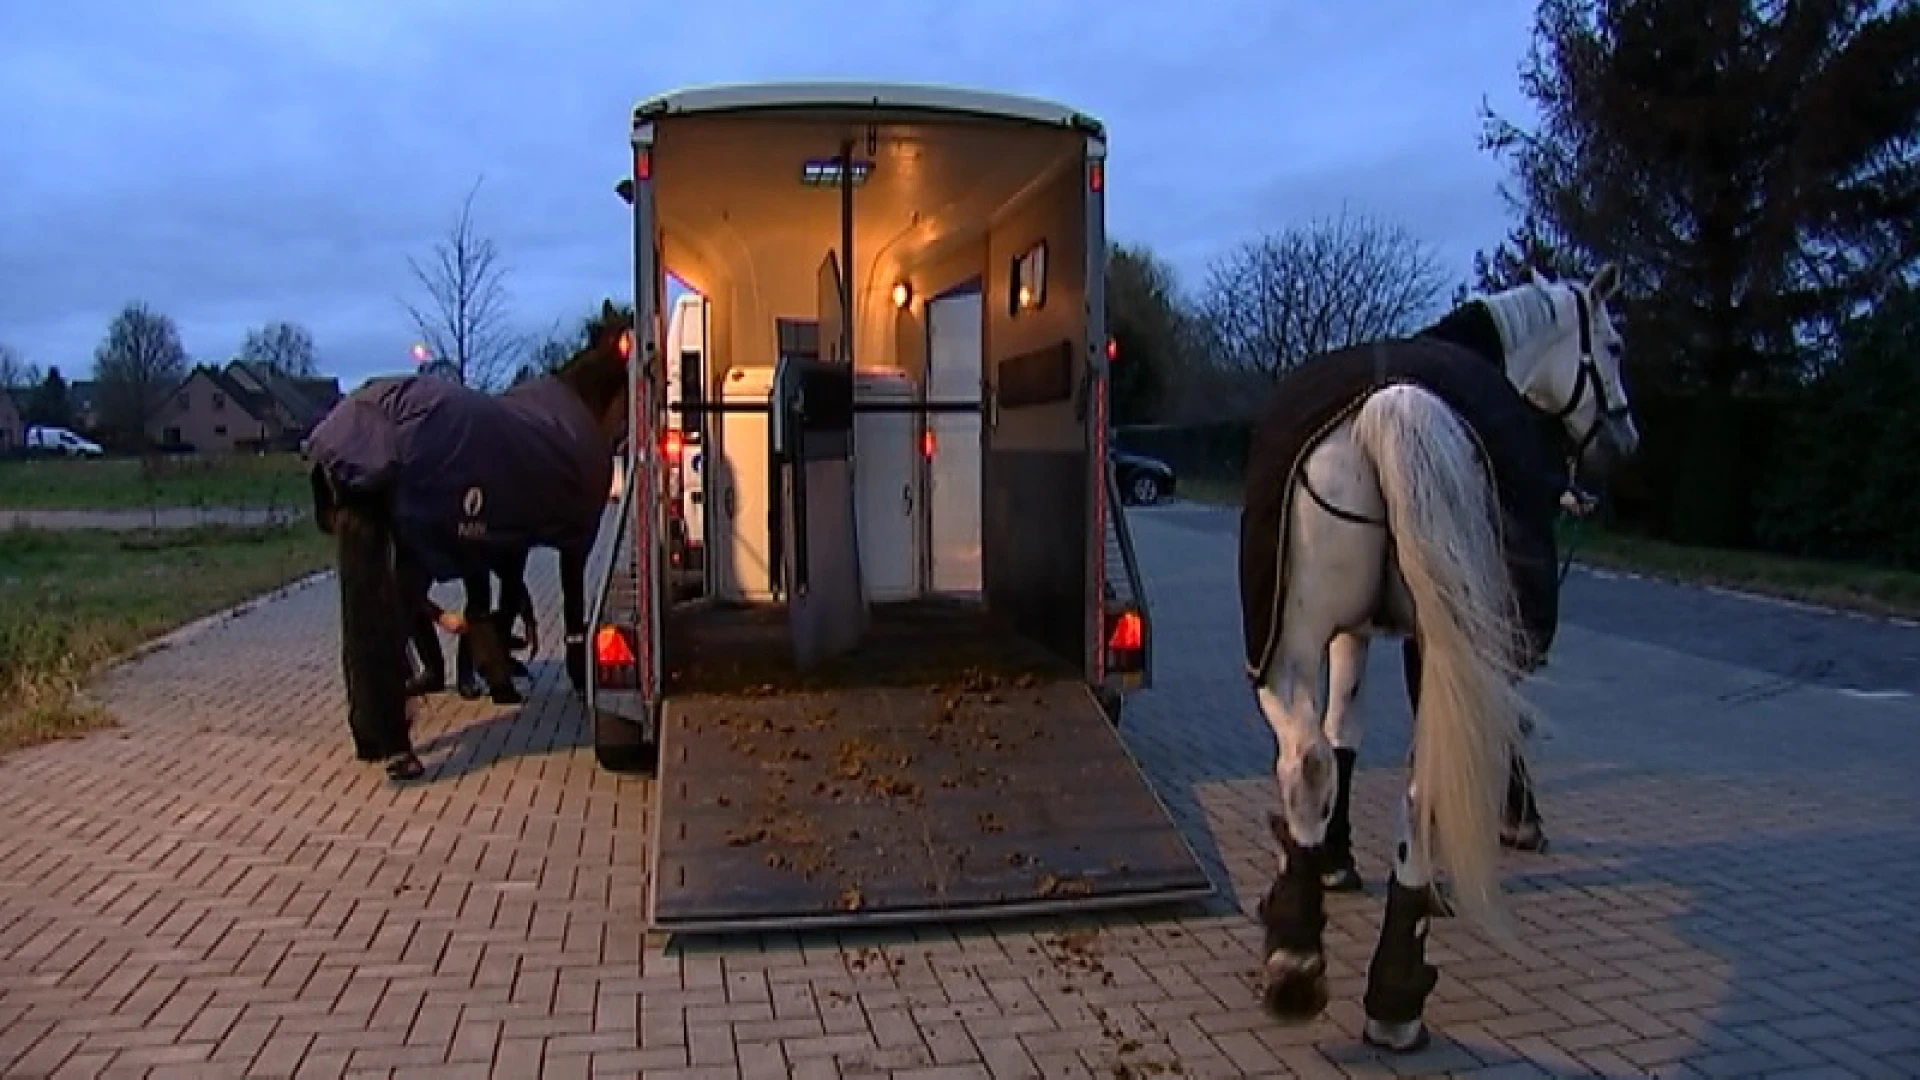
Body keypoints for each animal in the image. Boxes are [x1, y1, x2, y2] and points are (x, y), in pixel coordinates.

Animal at [1251, 265, 1643, 1045]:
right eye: (1614, 344)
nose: (1625, 440)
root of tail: (1392, 402)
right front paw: (1520, 821)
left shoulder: (1351, 632)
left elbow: (1341, 735)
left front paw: (1334, 861)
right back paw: (1396, 994)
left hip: (1292, 646)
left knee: (1309, 760)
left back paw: (1298, 964)